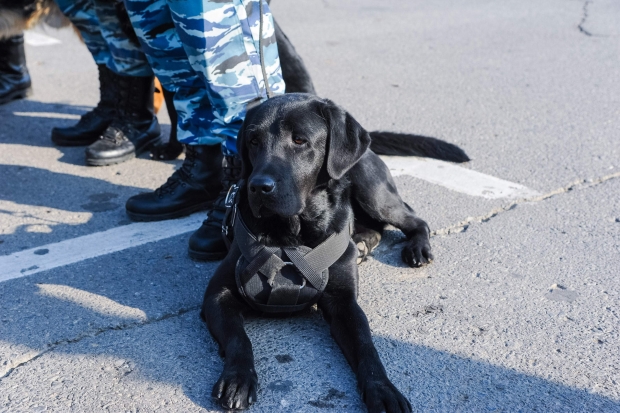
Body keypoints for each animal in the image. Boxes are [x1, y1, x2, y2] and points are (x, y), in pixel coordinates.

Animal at [201, 93, 468, 412]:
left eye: (300, 140)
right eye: (253, 140)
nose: (258, 186)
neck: (292, 232)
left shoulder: (344, 302)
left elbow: (366, 346)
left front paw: (383, 389)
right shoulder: (218, 295)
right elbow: (239, 339)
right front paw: (237, 378)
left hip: (372, 192)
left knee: (414, 219)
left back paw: (417, 247)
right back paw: (363, 243)